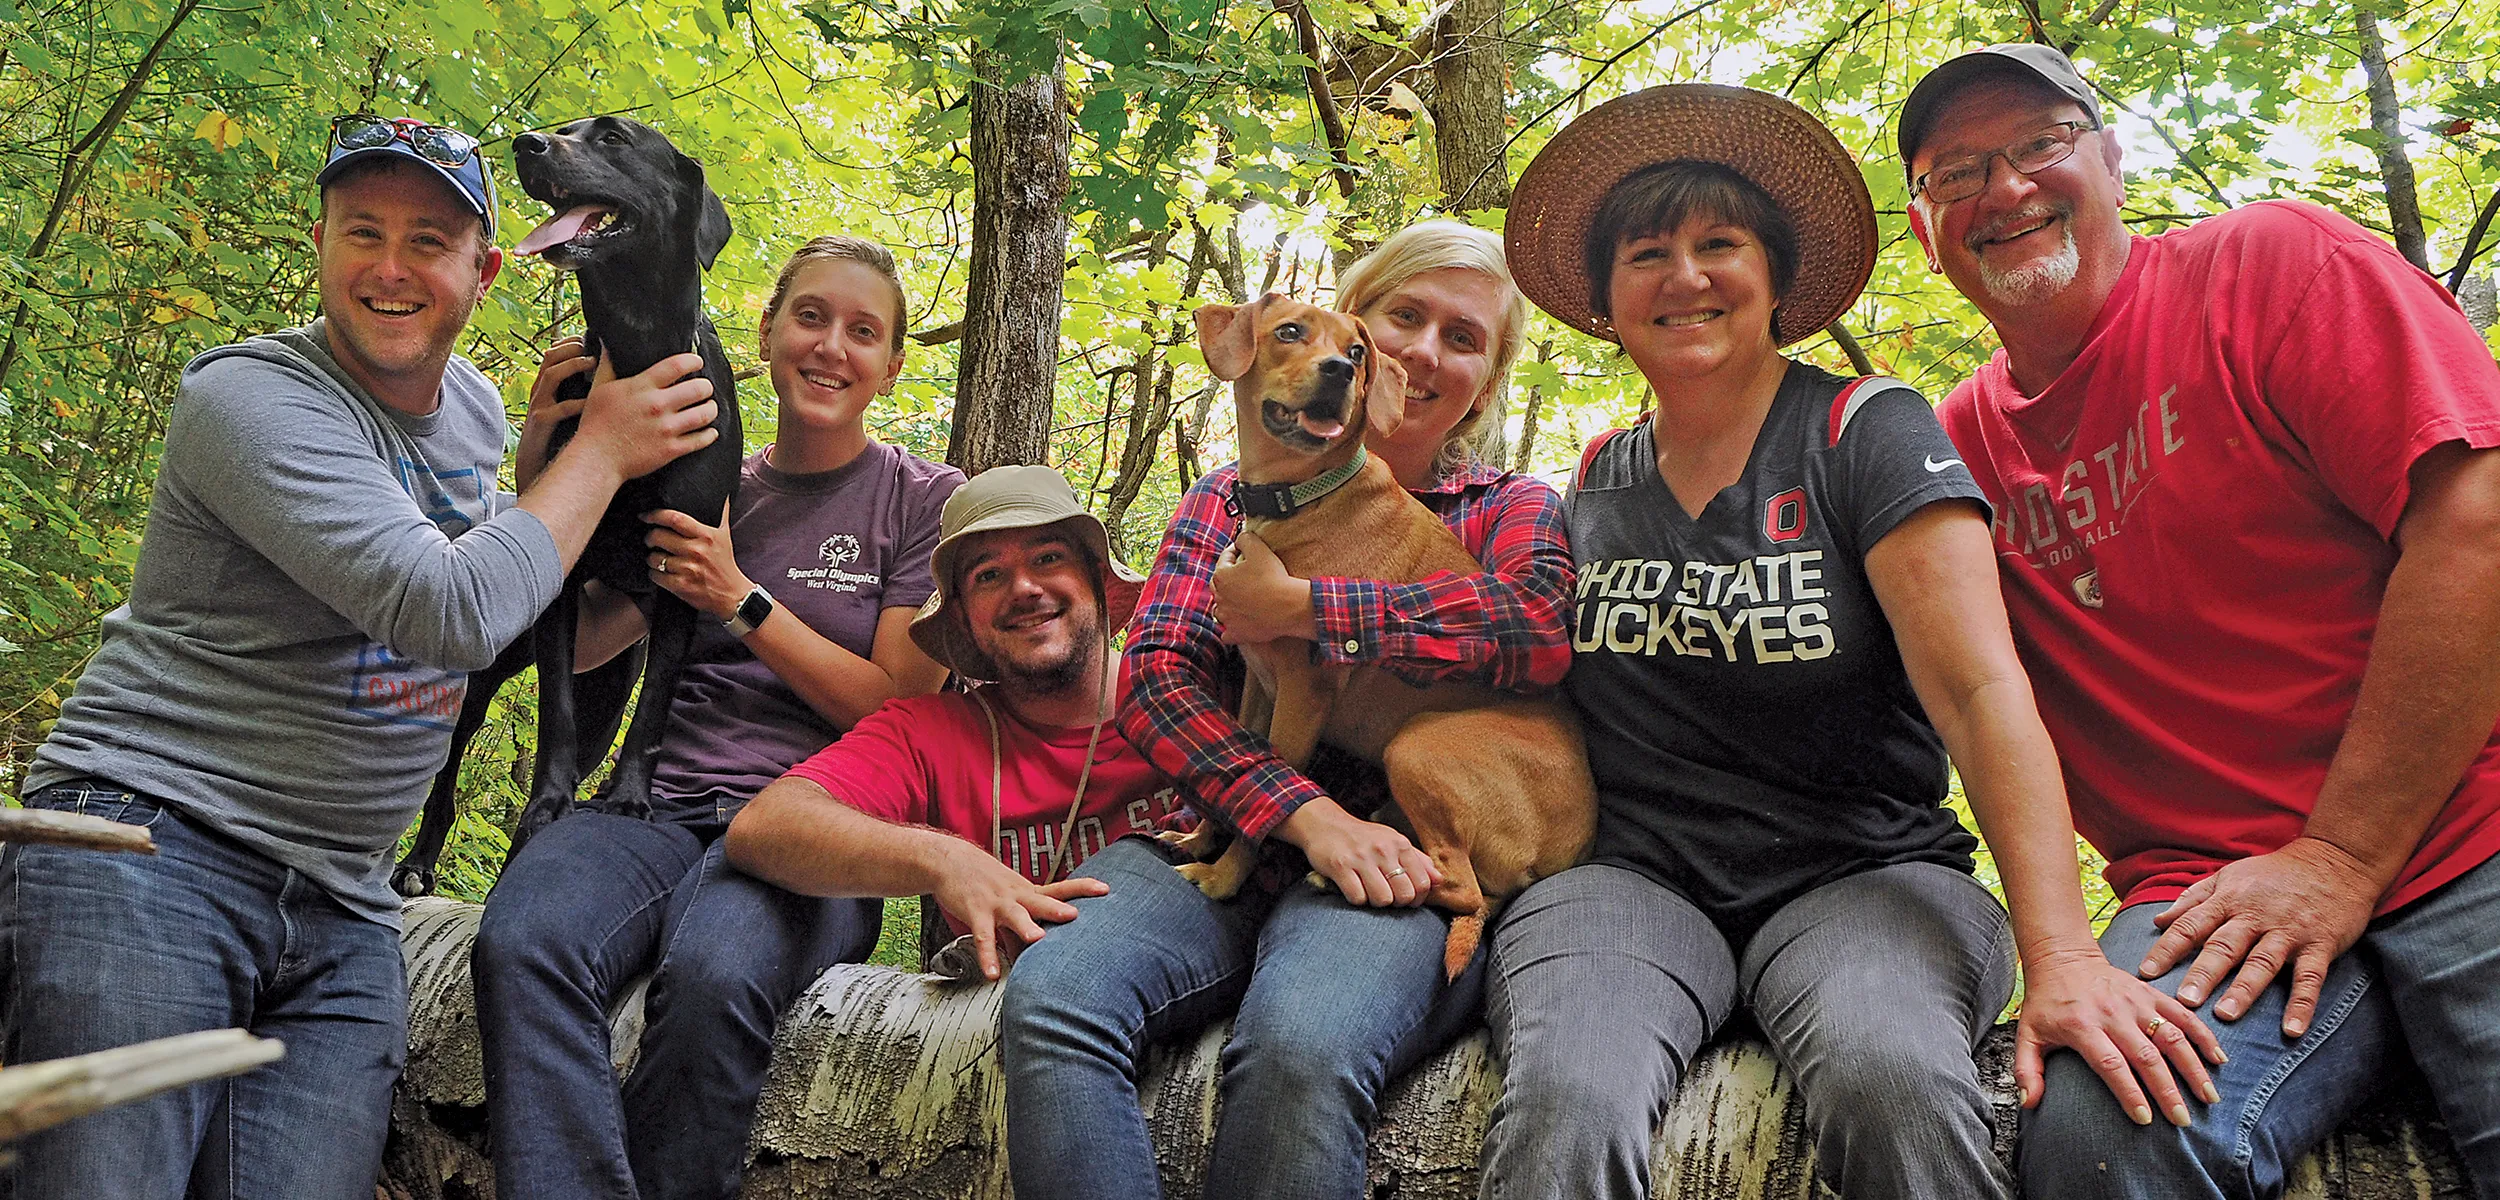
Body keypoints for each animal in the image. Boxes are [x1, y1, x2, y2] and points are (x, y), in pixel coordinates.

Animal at [390, 117, 735, 895]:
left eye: (615, 139)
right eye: (569, 129)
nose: (527, 144)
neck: (636, 354)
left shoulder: (686, 573)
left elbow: (656, 709)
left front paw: (631, 799)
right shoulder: (562, 585)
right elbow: (555, 712)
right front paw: (545, 806)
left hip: (611, 678)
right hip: (490, 663)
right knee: (449, 773)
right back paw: (420, 862)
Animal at [1175, 295, 1600, 980]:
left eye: (1356, 351)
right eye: (1289, 332)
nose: (1340, 372)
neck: (1303, 495)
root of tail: (1569, 855)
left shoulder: (1302, 694)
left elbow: (1269, 806)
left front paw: (1221, 879)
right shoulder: (1259, 689)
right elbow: (1239, 782)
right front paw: (1198, 839)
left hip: (1417, 746)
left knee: (1462, 888)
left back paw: (1345, 874)